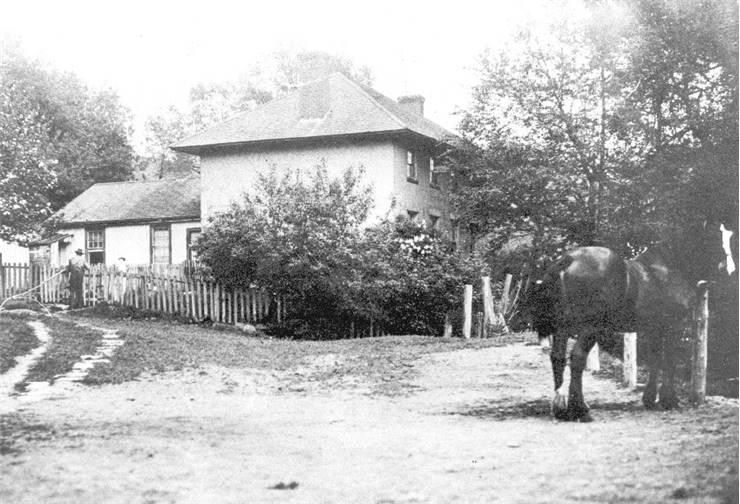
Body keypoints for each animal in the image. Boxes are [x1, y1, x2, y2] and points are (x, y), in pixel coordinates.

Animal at [528, 230, 728, 424]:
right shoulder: (673, 326)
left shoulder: (654, 329)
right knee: (577, 357)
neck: (670, 267)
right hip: (590, 328)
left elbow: (655, 360)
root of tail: (568, 260)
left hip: (563, 326)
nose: (725, 267)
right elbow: (669, 361)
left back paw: (560, 409)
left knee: (557, 358)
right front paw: (670, 401)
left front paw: (650, 400)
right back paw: (581, 411)